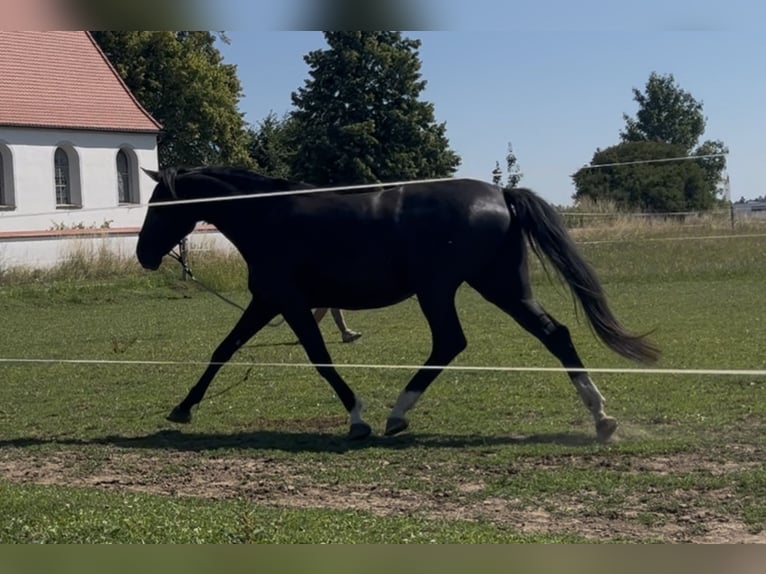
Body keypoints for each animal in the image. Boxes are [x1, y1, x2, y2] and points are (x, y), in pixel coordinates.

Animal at [136, 166, 659, 442]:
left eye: (158, 206)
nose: (143, 254)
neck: (269, 215)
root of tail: (501, 193)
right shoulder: (267, 301)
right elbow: (223, 350)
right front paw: (182, 408)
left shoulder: (289, 302)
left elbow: (320, 359)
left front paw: (357, 418)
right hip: (502, 287)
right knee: (555, 334)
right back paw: (601, 418)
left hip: (441, 289)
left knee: (450, 342)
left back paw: (396, 414)